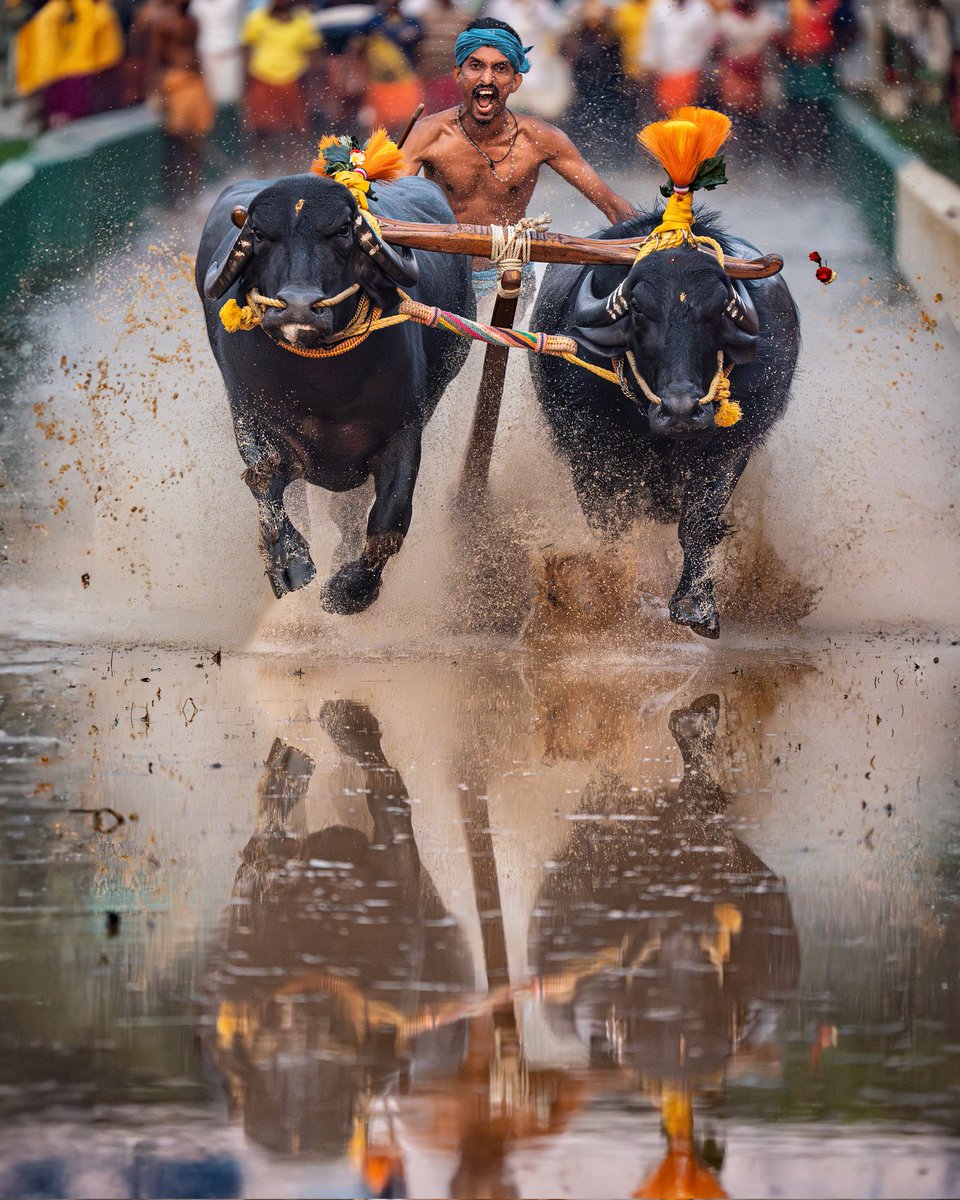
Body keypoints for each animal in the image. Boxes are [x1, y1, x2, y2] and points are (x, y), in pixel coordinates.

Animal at [196, 174, 475, 614]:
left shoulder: (403, 431)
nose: (297, 308)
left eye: (343, 230)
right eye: (259, 233)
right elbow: (267, 490)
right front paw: (290, 565)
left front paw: (350, 590)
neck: (323, 389)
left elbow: (389, 516)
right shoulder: (252, 422)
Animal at [528, 206, 796, 638]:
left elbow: (699, 523)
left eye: (718, 309)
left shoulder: (732, 446)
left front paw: (695, 606)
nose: (682, 410)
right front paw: (611, 596)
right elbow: (612, 527)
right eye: (639, 309)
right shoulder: (591, 453)